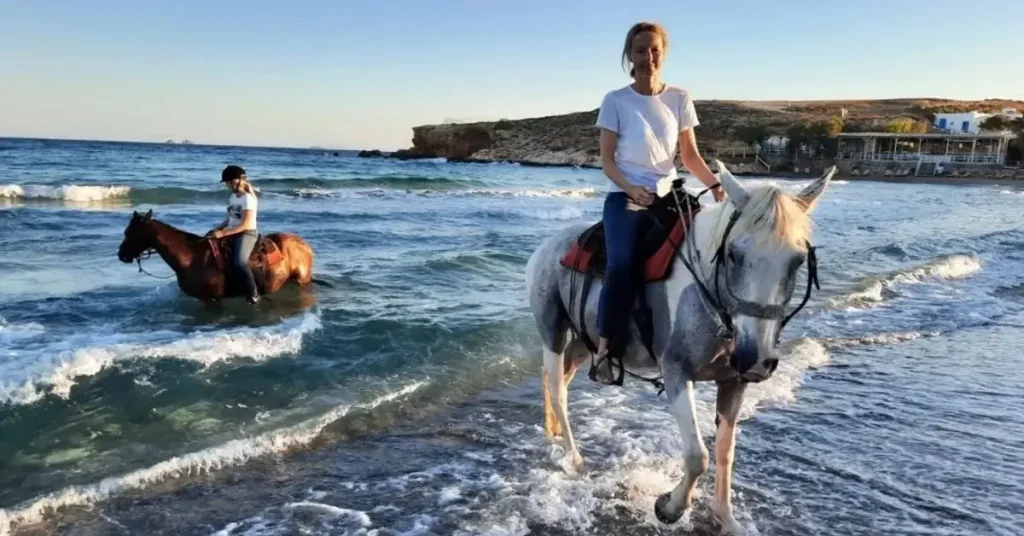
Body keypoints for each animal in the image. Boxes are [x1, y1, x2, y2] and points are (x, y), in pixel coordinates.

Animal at [117, 210, 313, 301]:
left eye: (129, 233)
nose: (120, 254)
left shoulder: (210, 300)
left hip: (302, 280)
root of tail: (304, 244)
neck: (191, 257)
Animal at [528, 162, 831, 532]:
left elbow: (725, 452)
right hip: (552, 330)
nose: (756, 359)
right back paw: (575, 458)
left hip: (586, 340)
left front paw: (726, 518)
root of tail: (547, 246)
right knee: (558, 390)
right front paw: (669, 508)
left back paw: (556, 434)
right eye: (734, 254)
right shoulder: (675, 371)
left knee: (561, 382)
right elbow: (698, 456)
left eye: (798, 261)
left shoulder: (734, 382)